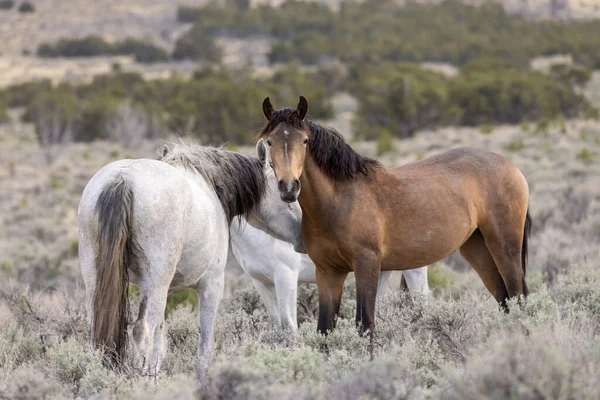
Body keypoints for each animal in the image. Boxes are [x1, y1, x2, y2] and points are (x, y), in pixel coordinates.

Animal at [78, 142, 302, 374]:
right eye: (282, 188)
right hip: (154, 282)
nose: (302, 230)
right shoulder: (212, 285)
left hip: (96, 279)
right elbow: (204, 344)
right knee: (141, 330)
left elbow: (160, 343)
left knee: (99, 328)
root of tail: (123, 179)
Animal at [258, 96, 528, 344]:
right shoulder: (328, 272)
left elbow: (365, 325)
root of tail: (511, 167)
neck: (340, 200)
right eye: (270, 141)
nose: (289, 187)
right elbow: (325, 329)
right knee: (505, 298)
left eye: (304, 141)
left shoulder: (366, 265)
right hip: (477, 248)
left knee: (518, 297)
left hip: (504, 246)